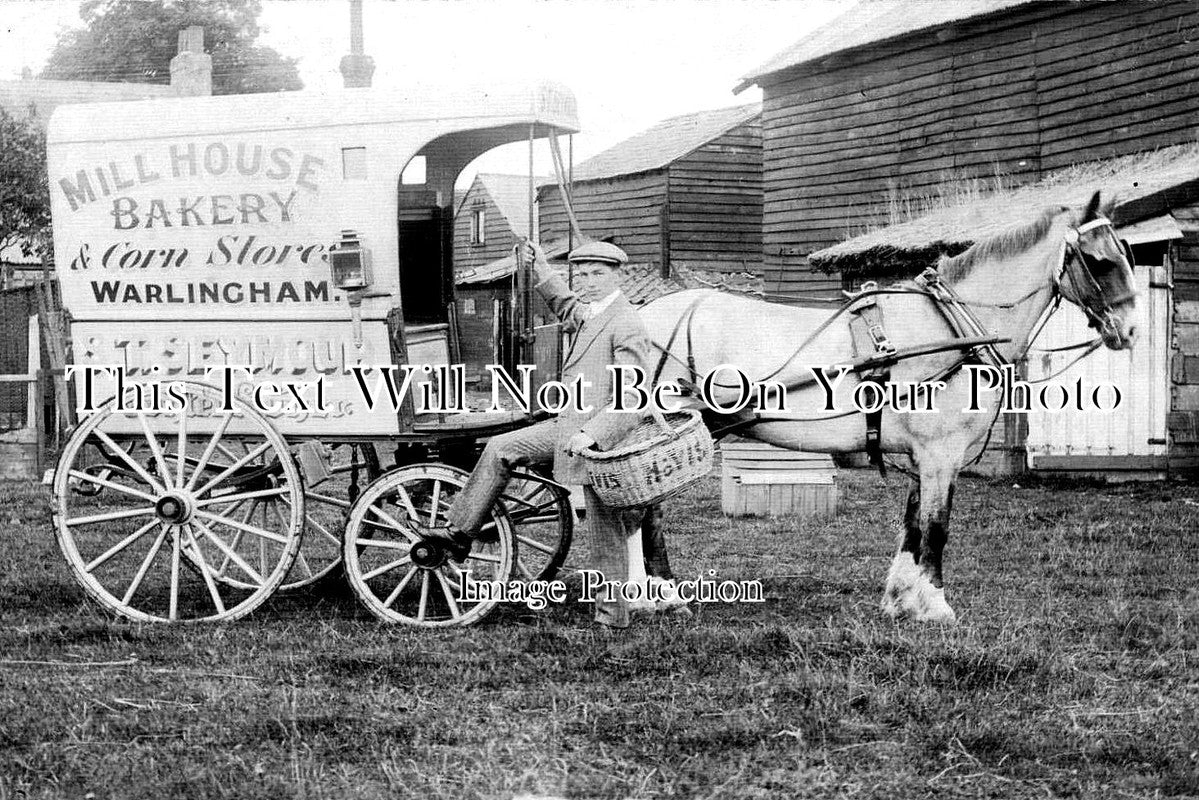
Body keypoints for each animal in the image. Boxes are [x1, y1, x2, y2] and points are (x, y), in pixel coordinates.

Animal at [633, 190, 1136, 623]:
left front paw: (901, 599)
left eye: (1128, 253)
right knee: (649, 513)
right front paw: (936, 605)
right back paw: (664, 595)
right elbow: (936, 527)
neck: (952, 328)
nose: (1130, 330)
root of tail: (638, 317)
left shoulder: (923, 456)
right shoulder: (940, 454)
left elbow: (913, 525)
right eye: (1099, 261)